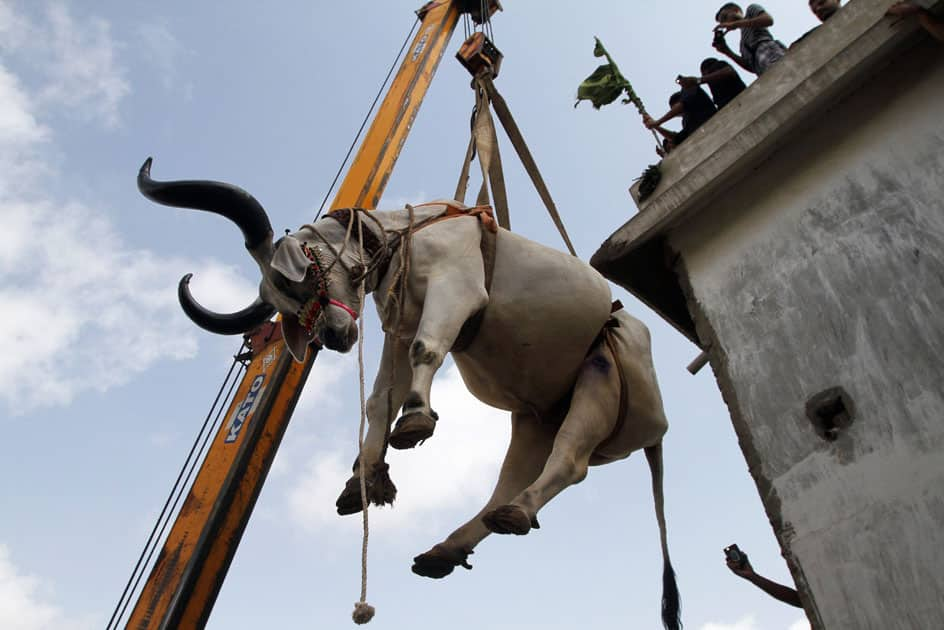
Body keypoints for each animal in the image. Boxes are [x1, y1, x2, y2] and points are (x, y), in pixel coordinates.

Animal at [138, 159, 680, 630]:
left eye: (301, 276)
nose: (333, 336)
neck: (407, 239)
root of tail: (659, 427)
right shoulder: (396, 329)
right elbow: (379, 399)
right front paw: (362, 480)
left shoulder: (454, 292)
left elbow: (427, 352)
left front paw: (416, 419)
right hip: (534, 420)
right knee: (506, 483)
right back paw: (447, 550)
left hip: (601, 382)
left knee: (570, 463)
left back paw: (517, 513)